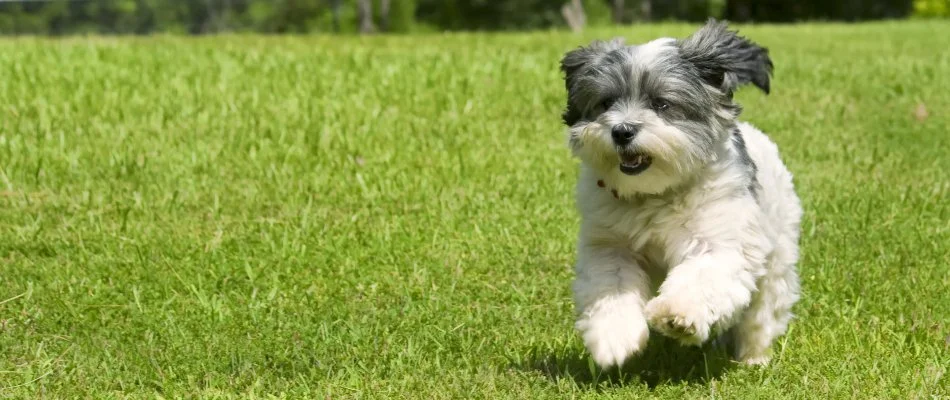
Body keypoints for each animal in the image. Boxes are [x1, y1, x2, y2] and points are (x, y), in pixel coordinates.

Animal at [564, 19, 804, 368]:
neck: (655, 194)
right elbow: (612, 285)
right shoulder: (609, 245)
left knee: (762, 312)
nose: (621, 131)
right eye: (606, 103)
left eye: (661, 104)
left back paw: (753, 359)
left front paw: (677, 315)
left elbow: (701, 276)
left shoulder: (720, 238)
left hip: (777, 255)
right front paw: (613, 338)